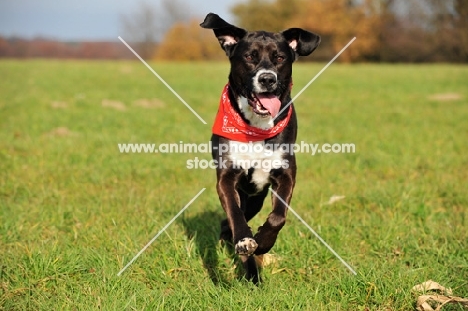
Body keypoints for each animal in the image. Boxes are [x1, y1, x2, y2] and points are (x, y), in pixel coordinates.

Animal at [199, 13, 320, 284]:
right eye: (249, 56)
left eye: (280, 58)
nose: (267, 78)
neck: (256, 127)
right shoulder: (226, 177)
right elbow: (235, 214)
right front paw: (245, 241)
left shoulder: (285, 174)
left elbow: (278, 216)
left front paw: (263, 242)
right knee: (229, 222)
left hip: (256, 199)